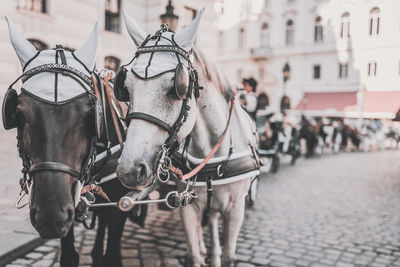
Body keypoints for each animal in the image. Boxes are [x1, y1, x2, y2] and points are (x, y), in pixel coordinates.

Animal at [3, 18, 145, 267]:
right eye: (19, 114)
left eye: (90, 115)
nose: (50, 215)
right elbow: (69, 255)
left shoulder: (121, 202)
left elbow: (112, 250)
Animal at [115, 8, 260, 267]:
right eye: (125, 87)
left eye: (177, 87)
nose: (129, 169)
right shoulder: (187, 207)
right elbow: (193, 252)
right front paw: (200, 252)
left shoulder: (236, 210)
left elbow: (229, 255)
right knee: (210, 220)